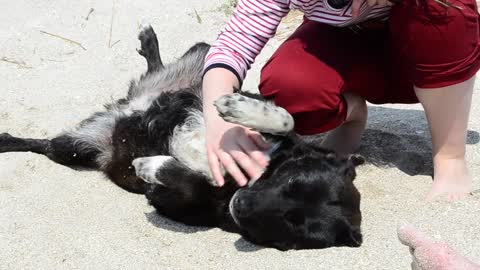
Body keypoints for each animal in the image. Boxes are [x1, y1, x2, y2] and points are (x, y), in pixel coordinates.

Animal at [0, 25, 364, 251]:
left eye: (291, 225)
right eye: (292, 182)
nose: (240, 203)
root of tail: (127, 103)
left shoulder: (175, 202)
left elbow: (185, 182)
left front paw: (151, 165)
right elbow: (286, 119)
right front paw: (237, 108)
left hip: (75, 148)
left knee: (48, 144)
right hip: (205, 54)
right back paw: (150, 46)